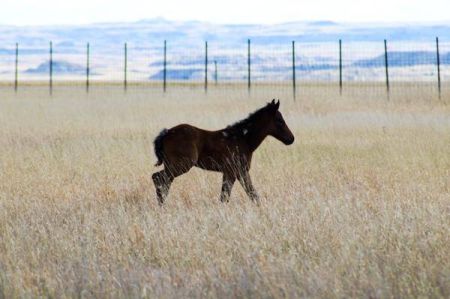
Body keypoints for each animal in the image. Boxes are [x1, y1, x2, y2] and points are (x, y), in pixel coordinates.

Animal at [152, 99, 296, 205]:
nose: (291, 139)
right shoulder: (235, 171)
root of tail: (166, 133)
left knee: (163, 181)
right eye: (279, 121)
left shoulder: (235, 172)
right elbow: (234, 195)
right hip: (181, 165)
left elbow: (244, 194)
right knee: (158, 178)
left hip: (172, 165)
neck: (243, 139)